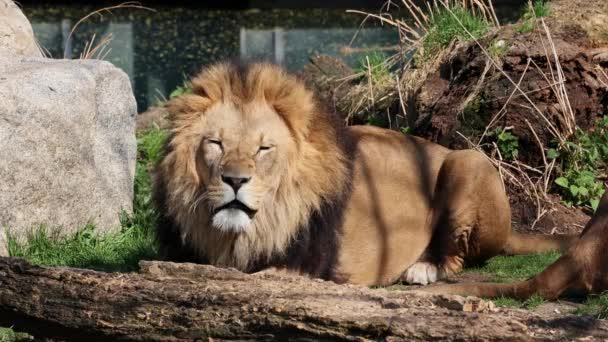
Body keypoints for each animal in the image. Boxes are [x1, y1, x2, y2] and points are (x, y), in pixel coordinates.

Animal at [154, 60, 576, 286]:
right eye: (216, 144)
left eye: (263, 148)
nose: (235, 180)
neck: (242, 234)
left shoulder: (306, 269)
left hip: (470, 162)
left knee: (459, 254)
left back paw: (423, 268)